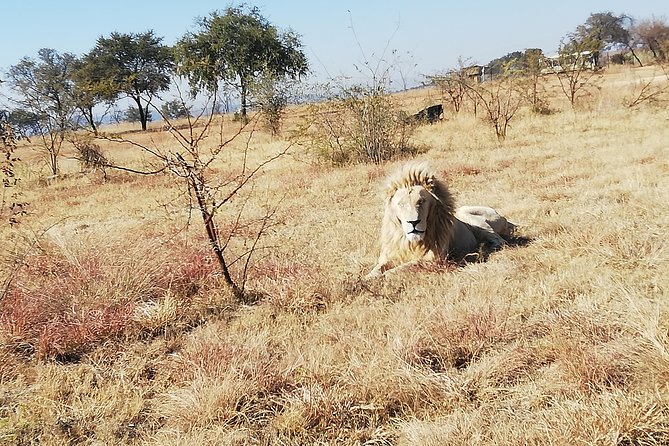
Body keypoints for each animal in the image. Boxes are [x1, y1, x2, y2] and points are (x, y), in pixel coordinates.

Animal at [367, 162, 515, 277]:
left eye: (421, 201)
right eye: (401, 204)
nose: (413, 222)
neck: (410, 242)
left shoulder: (434, 259)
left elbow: (404, 267)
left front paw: (386, 276)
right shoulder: (391, 255)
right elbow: (378, 268)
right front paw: (368, 278)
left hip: (473, 219)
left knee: (501, 242)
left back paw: (481, 250)